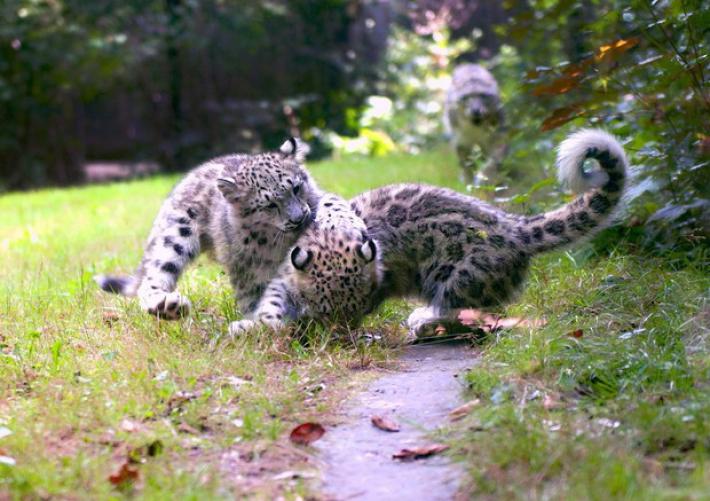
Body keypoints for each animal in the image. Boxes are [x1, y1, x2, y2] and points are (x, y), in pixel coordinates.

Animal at [94, 138, 322, 320]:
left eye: (296, 188)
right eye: (269, 205)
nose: (298, 218)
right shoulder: (245, 267)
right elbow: (253, 294)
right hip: (175, 237)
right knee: (152, 277)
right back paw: (167, 306)